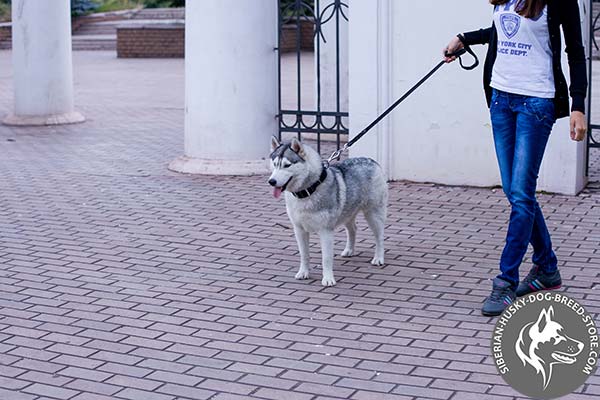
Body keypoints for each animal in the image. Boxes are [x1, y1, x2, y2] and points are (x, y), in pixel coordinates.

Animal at [268, 138, 390, 288]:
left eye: (287, 165)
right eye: (275, 164)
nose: (271, 181)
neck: (308, 191)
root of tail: (371, 160)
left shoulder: (326, 231)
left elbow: (326, 258)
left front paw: (328, 279)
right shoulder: (299, 230)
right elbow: (304, 254)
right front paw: (303, 272)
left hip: (373, 214)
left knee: (379, 237)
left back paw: (378, 258)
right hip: (347, 213)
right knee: (353, 229)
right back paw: (349, 250)